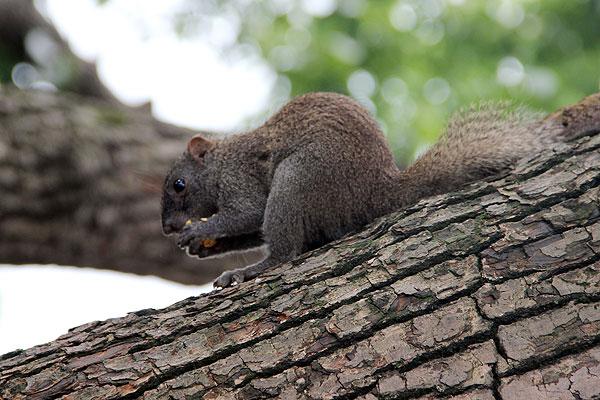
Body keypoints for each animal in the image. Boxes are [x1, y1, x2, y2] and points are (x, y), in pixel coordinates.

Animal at [162, 92, 556, 288]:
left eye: (179, 185)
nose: (167, 228)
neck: (219, 162)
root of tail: (378, 192)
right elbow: (248, 229)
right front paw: (203, 246)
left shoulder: (239, 177)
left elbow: (249, 213)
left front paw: (198, 231)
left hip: (300, 177)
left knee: (286, 250)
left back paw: (252, 269)